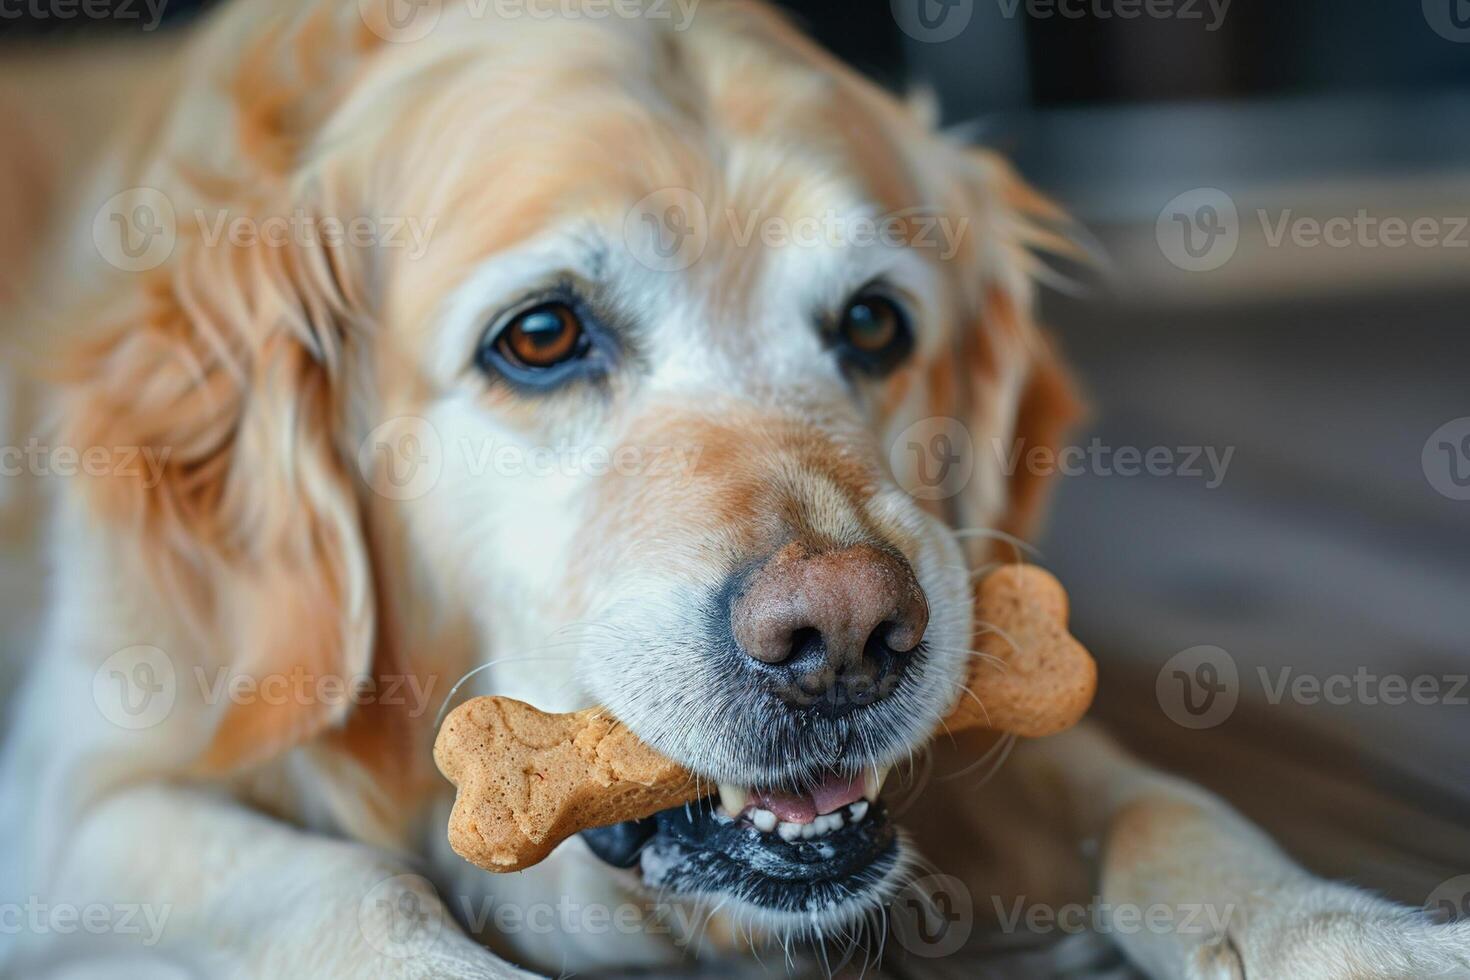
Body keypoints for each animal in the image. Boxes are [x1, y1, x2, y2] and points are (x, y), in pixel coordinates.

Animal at [2, 1, 1470, 980]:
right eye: (541, 336)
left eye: (875, 323)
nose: (848, 635)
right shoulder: (79, 804)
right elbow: (353, 888)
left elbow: (1158, 797)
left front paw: (1337, 927)